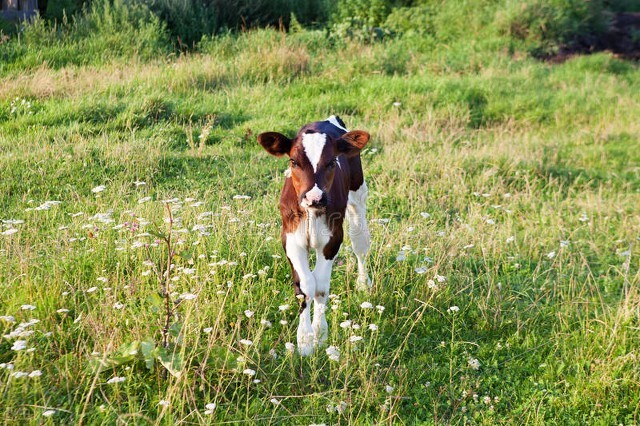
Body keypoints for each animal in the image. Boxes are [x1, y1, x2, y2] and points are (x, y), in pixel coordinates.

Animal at [258, 115, 372, 354]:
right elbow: (305, 286)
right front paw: (305, 341)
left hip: (359, 193)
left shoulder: (332, 240)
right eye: (293, 161)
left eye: (331, 162)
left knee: (360, 244)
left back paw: (363, 284)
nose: (314, 198)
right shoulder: (291, 240)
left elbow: (320, 287)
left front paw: (319, 334)